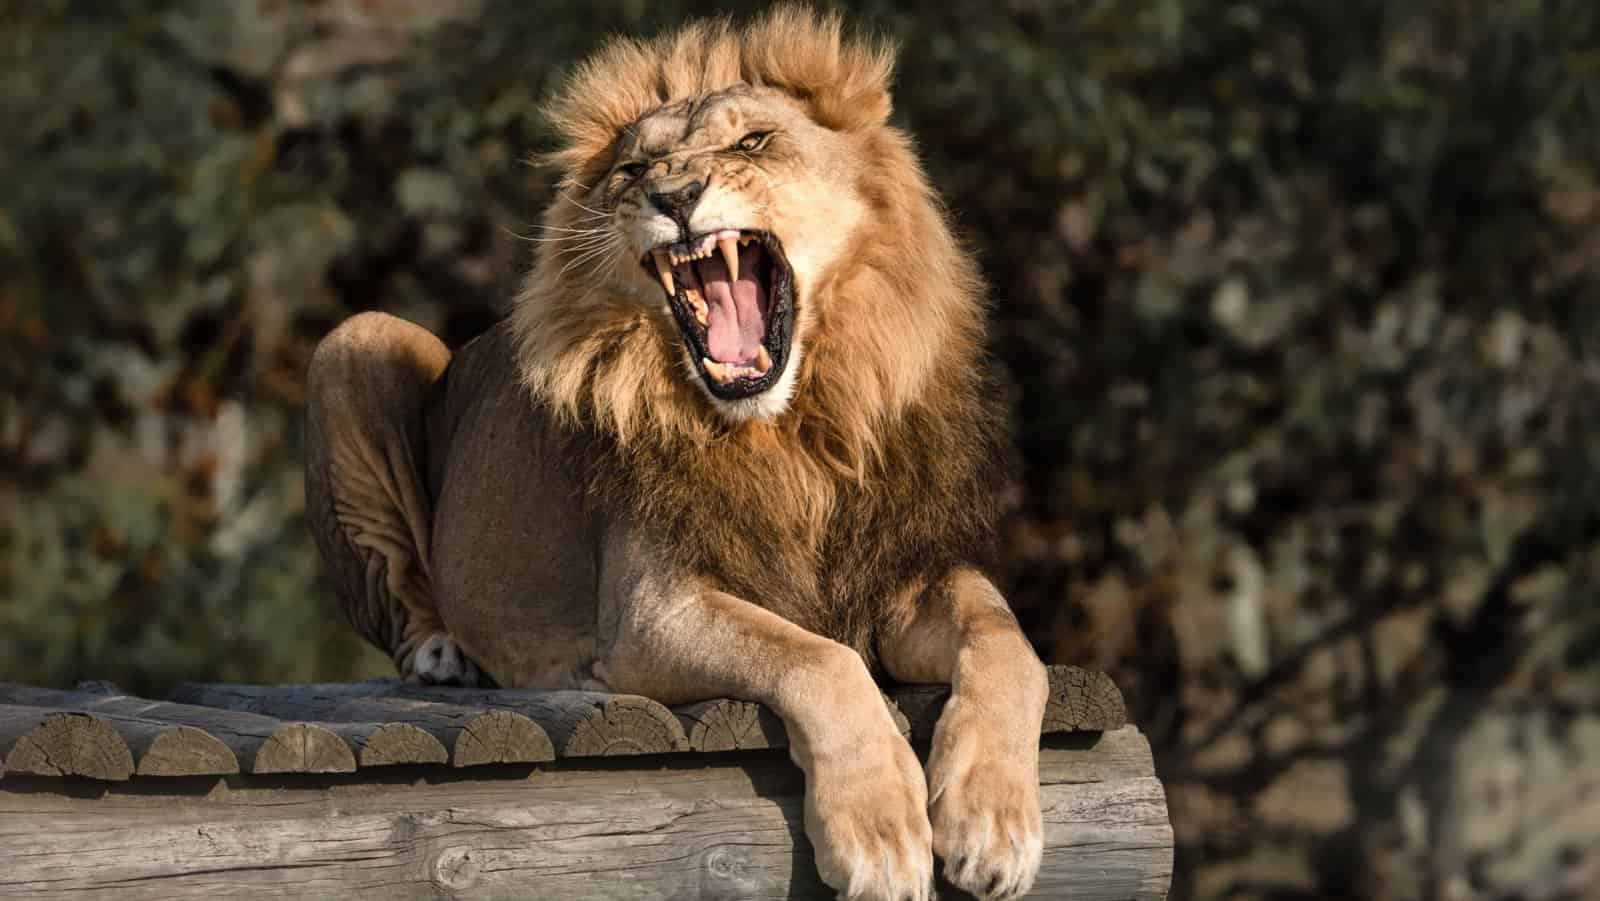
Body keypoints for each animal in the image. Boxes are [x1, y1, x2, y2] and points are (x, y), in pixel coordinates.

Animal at [304, 8, 1049, 899]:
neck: (792, 433)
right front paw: (879, 835)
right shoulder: (649, 612)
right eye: (635, 168)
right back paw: (445, 653)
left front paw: (994, 822)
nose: (675, 195)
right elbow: (818, 659)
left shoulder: (899, 574)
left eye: (754, 141)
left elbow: (1010, 642)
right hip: (359, 337)